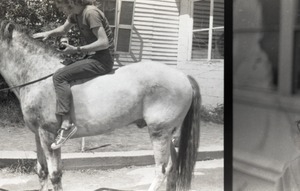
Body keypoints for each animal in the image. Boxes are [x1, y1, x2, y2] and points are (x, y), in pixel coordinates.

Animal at [0, 20, 202, 190]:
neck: (39, 75)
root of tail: (183, 76)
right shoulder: (38, 135)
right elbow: (41, 172)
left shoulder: (49, 135)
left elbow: (55, 175)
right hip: (168, 133)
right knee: (173, 167)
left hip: (159, 132)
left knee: (162, 169)